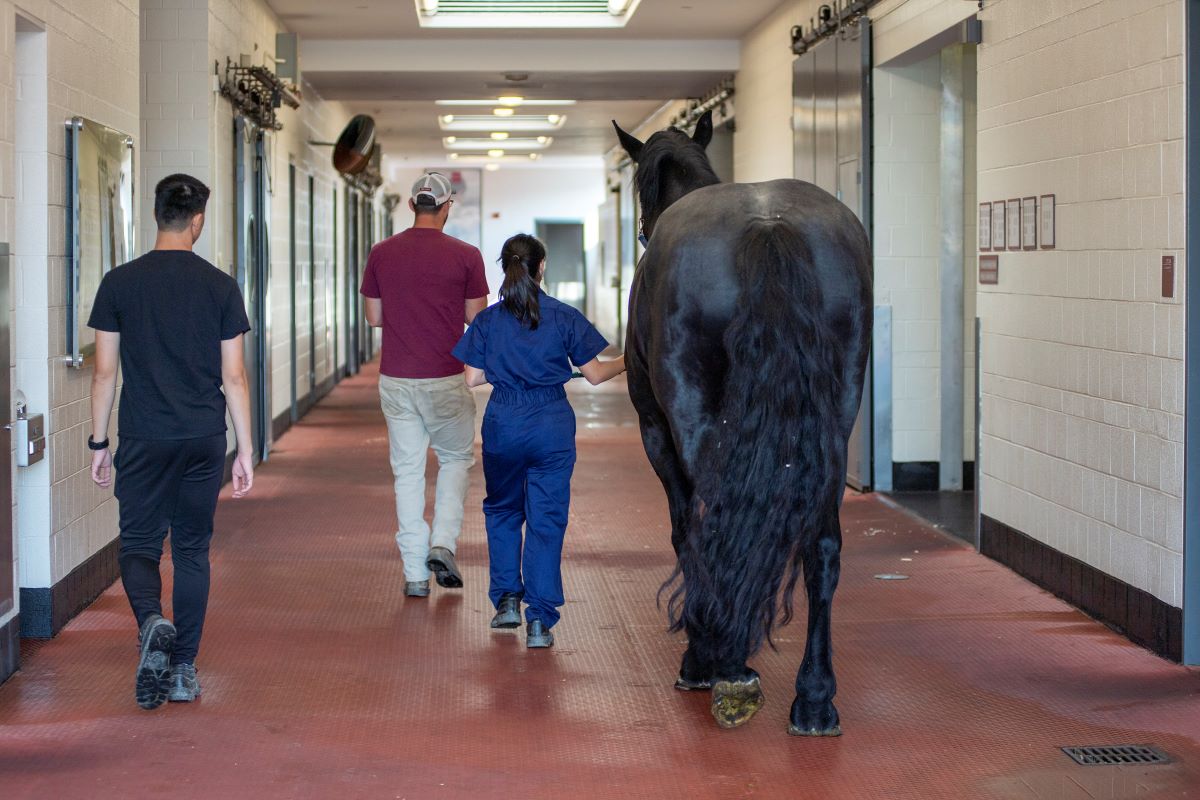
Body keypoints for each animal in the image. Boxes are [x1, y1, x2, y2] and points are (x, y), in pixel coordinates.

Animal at [614, 109, 868, 734]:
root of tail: (769, 226)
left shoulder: (656, 430)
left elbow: (686, 529)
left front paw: (702, 655)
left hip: (691, 417)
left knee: (717, 523)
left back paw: (721, 663)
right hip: (836, 425)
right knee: (822, 547)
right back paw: (815, 698)